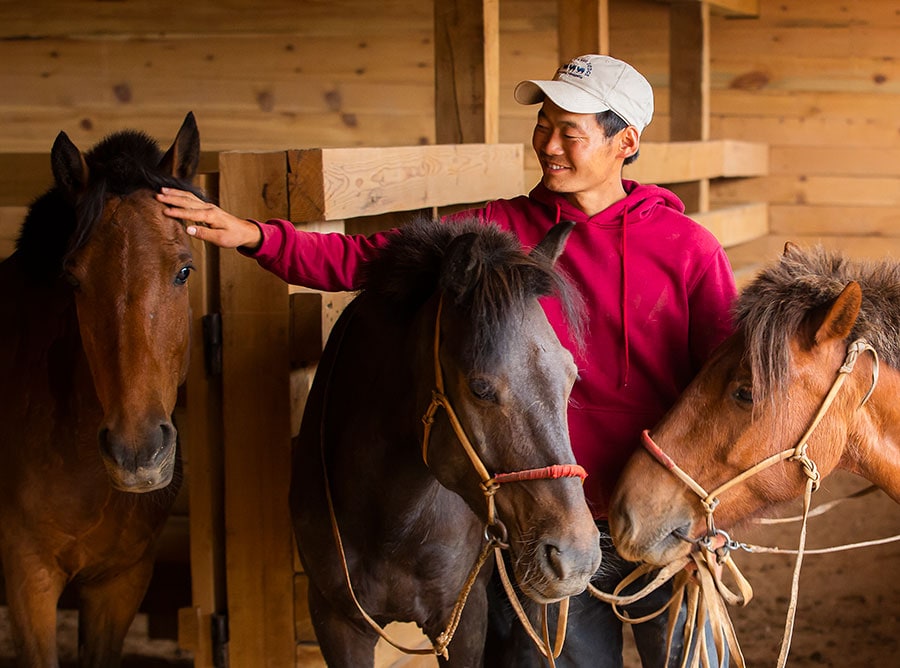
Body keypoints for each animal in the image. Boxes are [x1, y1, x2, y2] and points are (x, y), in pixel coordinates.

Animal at [294, 220, 604, 668]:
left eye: (571, 378)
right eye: (480, 388)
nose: (577, 556)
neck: (390, 522)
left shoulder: (464, 615)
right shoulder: (336, 622)